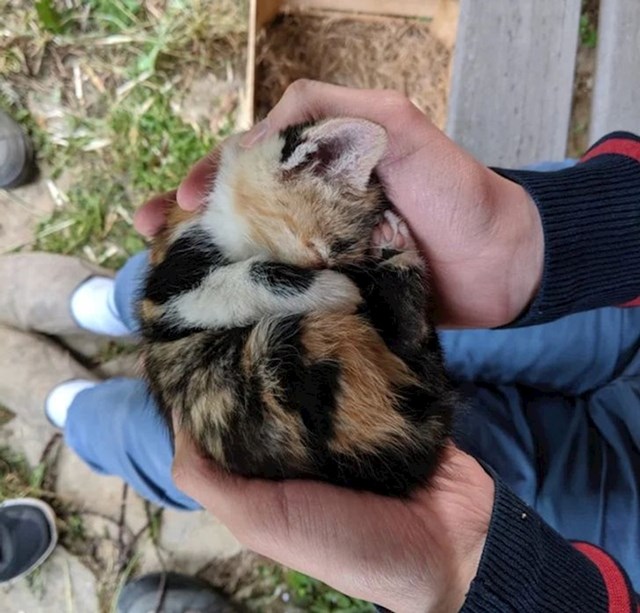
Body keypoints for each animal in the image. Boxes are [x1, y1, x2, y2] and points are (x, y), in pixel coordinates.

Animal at [139, 117, 456, 494]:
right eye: (323, 256)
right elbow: (252, 274)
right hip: (281, 354)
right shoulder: (162, 302)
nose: (358, 286)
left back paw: (396, 247)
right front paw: (339, 291)